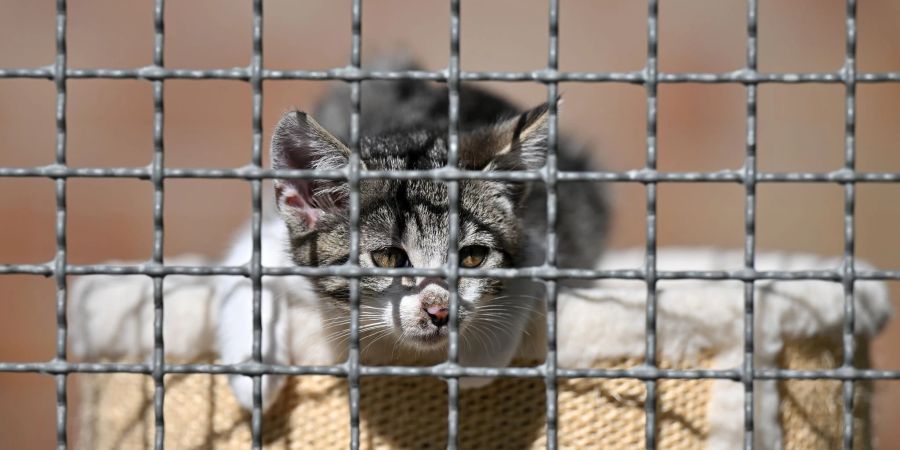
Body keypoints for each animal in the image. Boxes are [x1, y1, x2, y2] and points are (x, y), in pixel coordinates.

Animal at [217, 60, 608, 412]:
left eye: (472, 257)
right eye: (388, 257)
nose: (439, 311)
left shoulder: (546, 235)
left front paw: (477, 360)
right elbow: (243, 272)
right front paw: (254, 374)